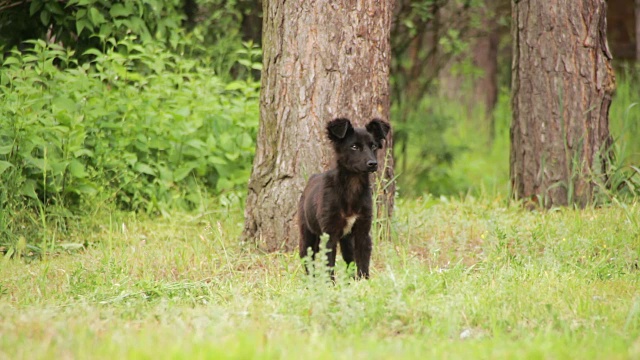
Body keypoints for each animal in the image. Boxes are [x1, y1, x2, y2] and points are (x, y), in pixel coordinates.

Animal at [298, 116, 390, 280]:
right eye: (354, 147)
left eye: (373, 146)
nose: (373, 164)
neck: (353, 186)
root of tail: (312, 178)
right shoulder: (330, 233)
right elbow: (329, 264)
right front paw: (330, 284)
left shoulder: (362, 230)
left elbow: (362, 261)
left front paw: (364, 281)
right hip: (307, 234)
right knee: (308, 260)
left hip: (346, 240)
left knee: (350, 261)